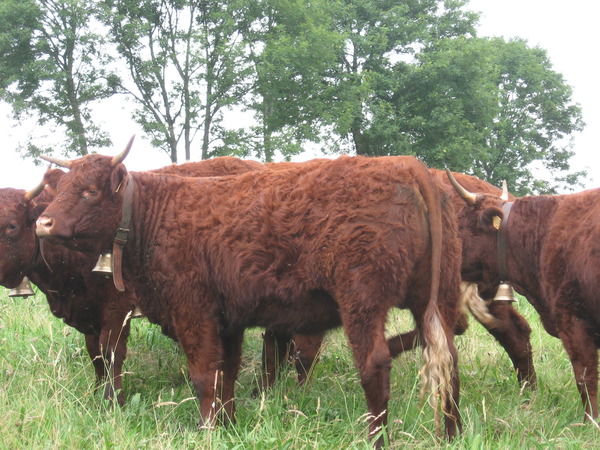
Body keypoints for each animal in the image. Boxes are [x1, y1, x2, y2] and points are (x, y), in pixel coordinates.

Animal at [35, 144, 462, 442]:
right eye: (63, 187)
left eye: (89, 190)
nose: (43, 222)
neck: (154, 214)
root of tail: (405, 164)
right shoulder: (228, 320)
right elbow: (227, 373)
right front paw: (227, 425)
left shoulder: (193, 311)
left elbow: (203, 375)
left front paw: (207, 430)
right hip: (435, 299)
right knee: (449, 361)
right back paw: (451, 435)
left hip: (362, 301)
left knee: (375, 365)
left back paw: (377, 439)